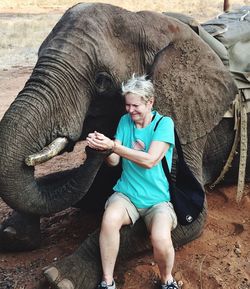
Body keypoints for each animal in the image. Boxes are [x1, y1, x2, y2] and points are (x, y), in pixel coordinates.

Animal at [0, 3, 249, 288]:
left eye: (102, 81)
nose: (94, 146)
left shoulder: (186, 122)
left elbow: (191, 219)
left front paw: (60, 278)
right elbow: (92, 190)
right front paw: (11, 234)